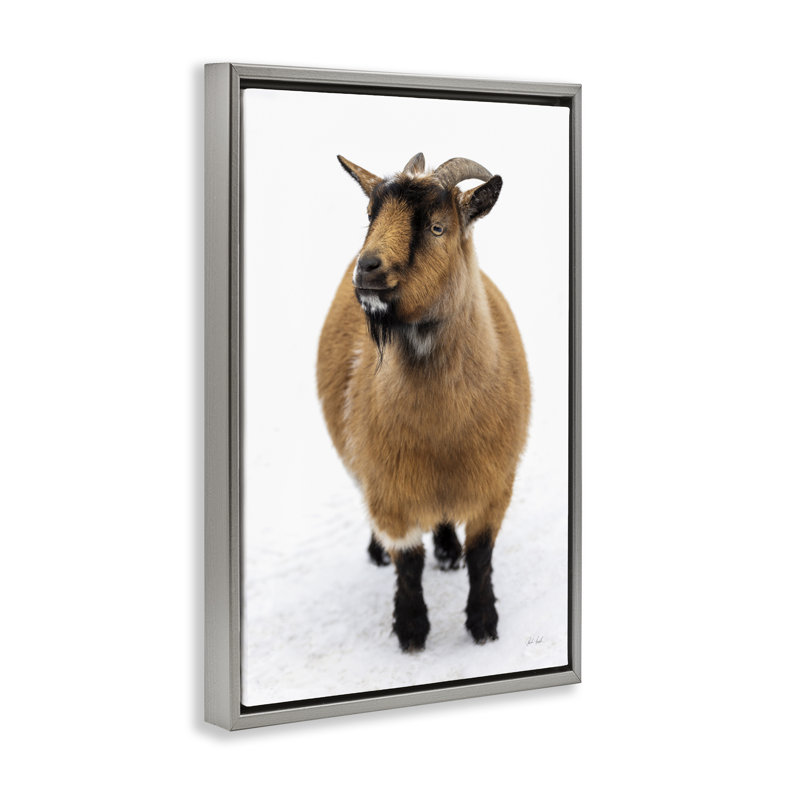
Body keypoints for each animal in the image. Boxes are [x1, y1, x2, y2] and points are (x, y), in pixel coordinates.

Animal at [316, 152, 531, 652]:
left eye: (436, 227)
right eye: (370, 215)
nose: (367, 269)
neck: (442, 433)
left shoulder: (495, 483)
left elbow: (481, 555)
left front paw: (484, 625)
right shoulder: (391, 488)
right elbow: (409, 561)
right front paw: (412, 630)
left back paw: (448, 550)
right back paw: (379, 553)